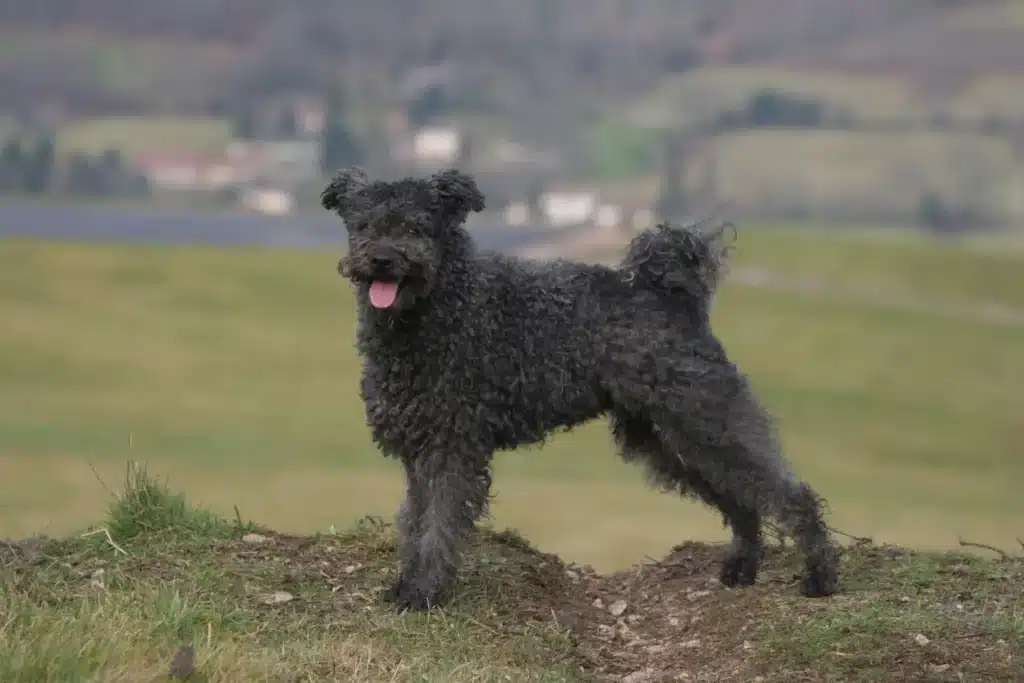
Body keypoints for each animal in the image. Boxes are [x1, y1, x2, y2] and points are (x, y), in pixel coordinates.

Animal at [319, 166, 839, 614]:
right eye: (364, 224)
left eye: (417, 226)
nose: (382, 260)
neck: (440, 308)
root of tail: (667, 291)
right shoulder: (418, 453)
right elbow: (413, 521)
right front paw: (406, 583)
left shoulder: (452, 449)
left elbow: (439, 526)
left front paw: (424, 592)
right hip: (666, 437)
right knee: (740, 497)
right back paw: (742, 568)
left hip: (704, 418)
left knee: (788, 493)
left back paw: (820, 576)